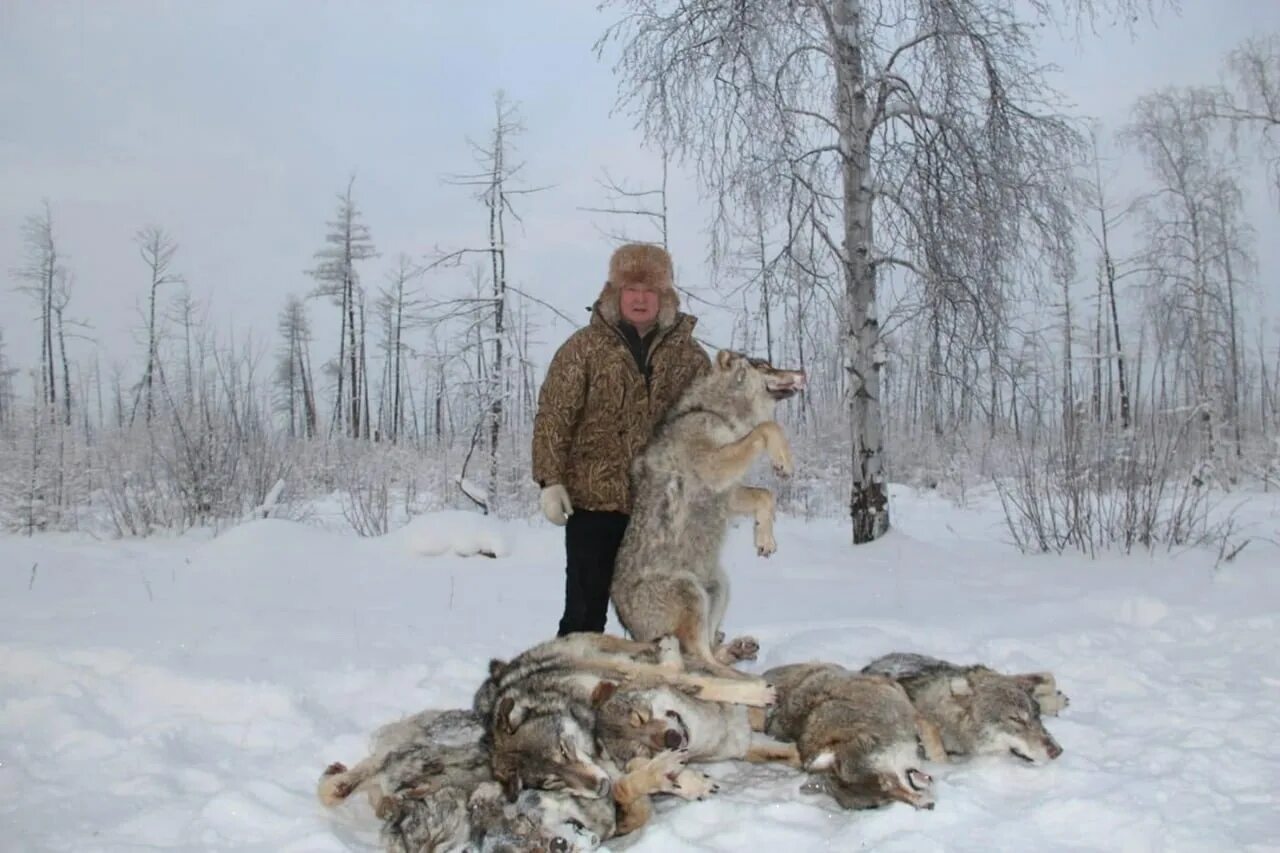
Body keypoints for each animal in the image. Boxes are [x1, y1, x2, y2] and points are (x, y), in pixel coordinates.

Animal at [606, 348, 798, 676]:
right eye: (763, 365)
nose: (802, 373)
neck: (717, 412)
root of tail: (632, 630)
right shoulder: (714, 466)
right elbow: (766, 428)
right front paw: (782, 458)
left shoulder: (728, 491)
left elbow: (766, 495)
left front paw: (764, 538)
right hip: (690, 593)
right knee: (697, 657)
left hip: (718, 587)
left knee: (707, 647)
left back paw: (737, 650)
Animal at [757, 655, 952, 809]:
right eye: (885, 800)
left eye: (889, 782)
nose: (928, 806)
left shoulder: (911, 712)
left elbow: (935, 745)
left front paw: (942, 763)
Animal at [865, 650, 1064, 763]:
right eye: (1016, 719)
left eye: (1037, 716)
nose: (1058, 751)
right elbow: (938, 750)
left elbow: (1048, 677)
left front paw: (1053, 700)